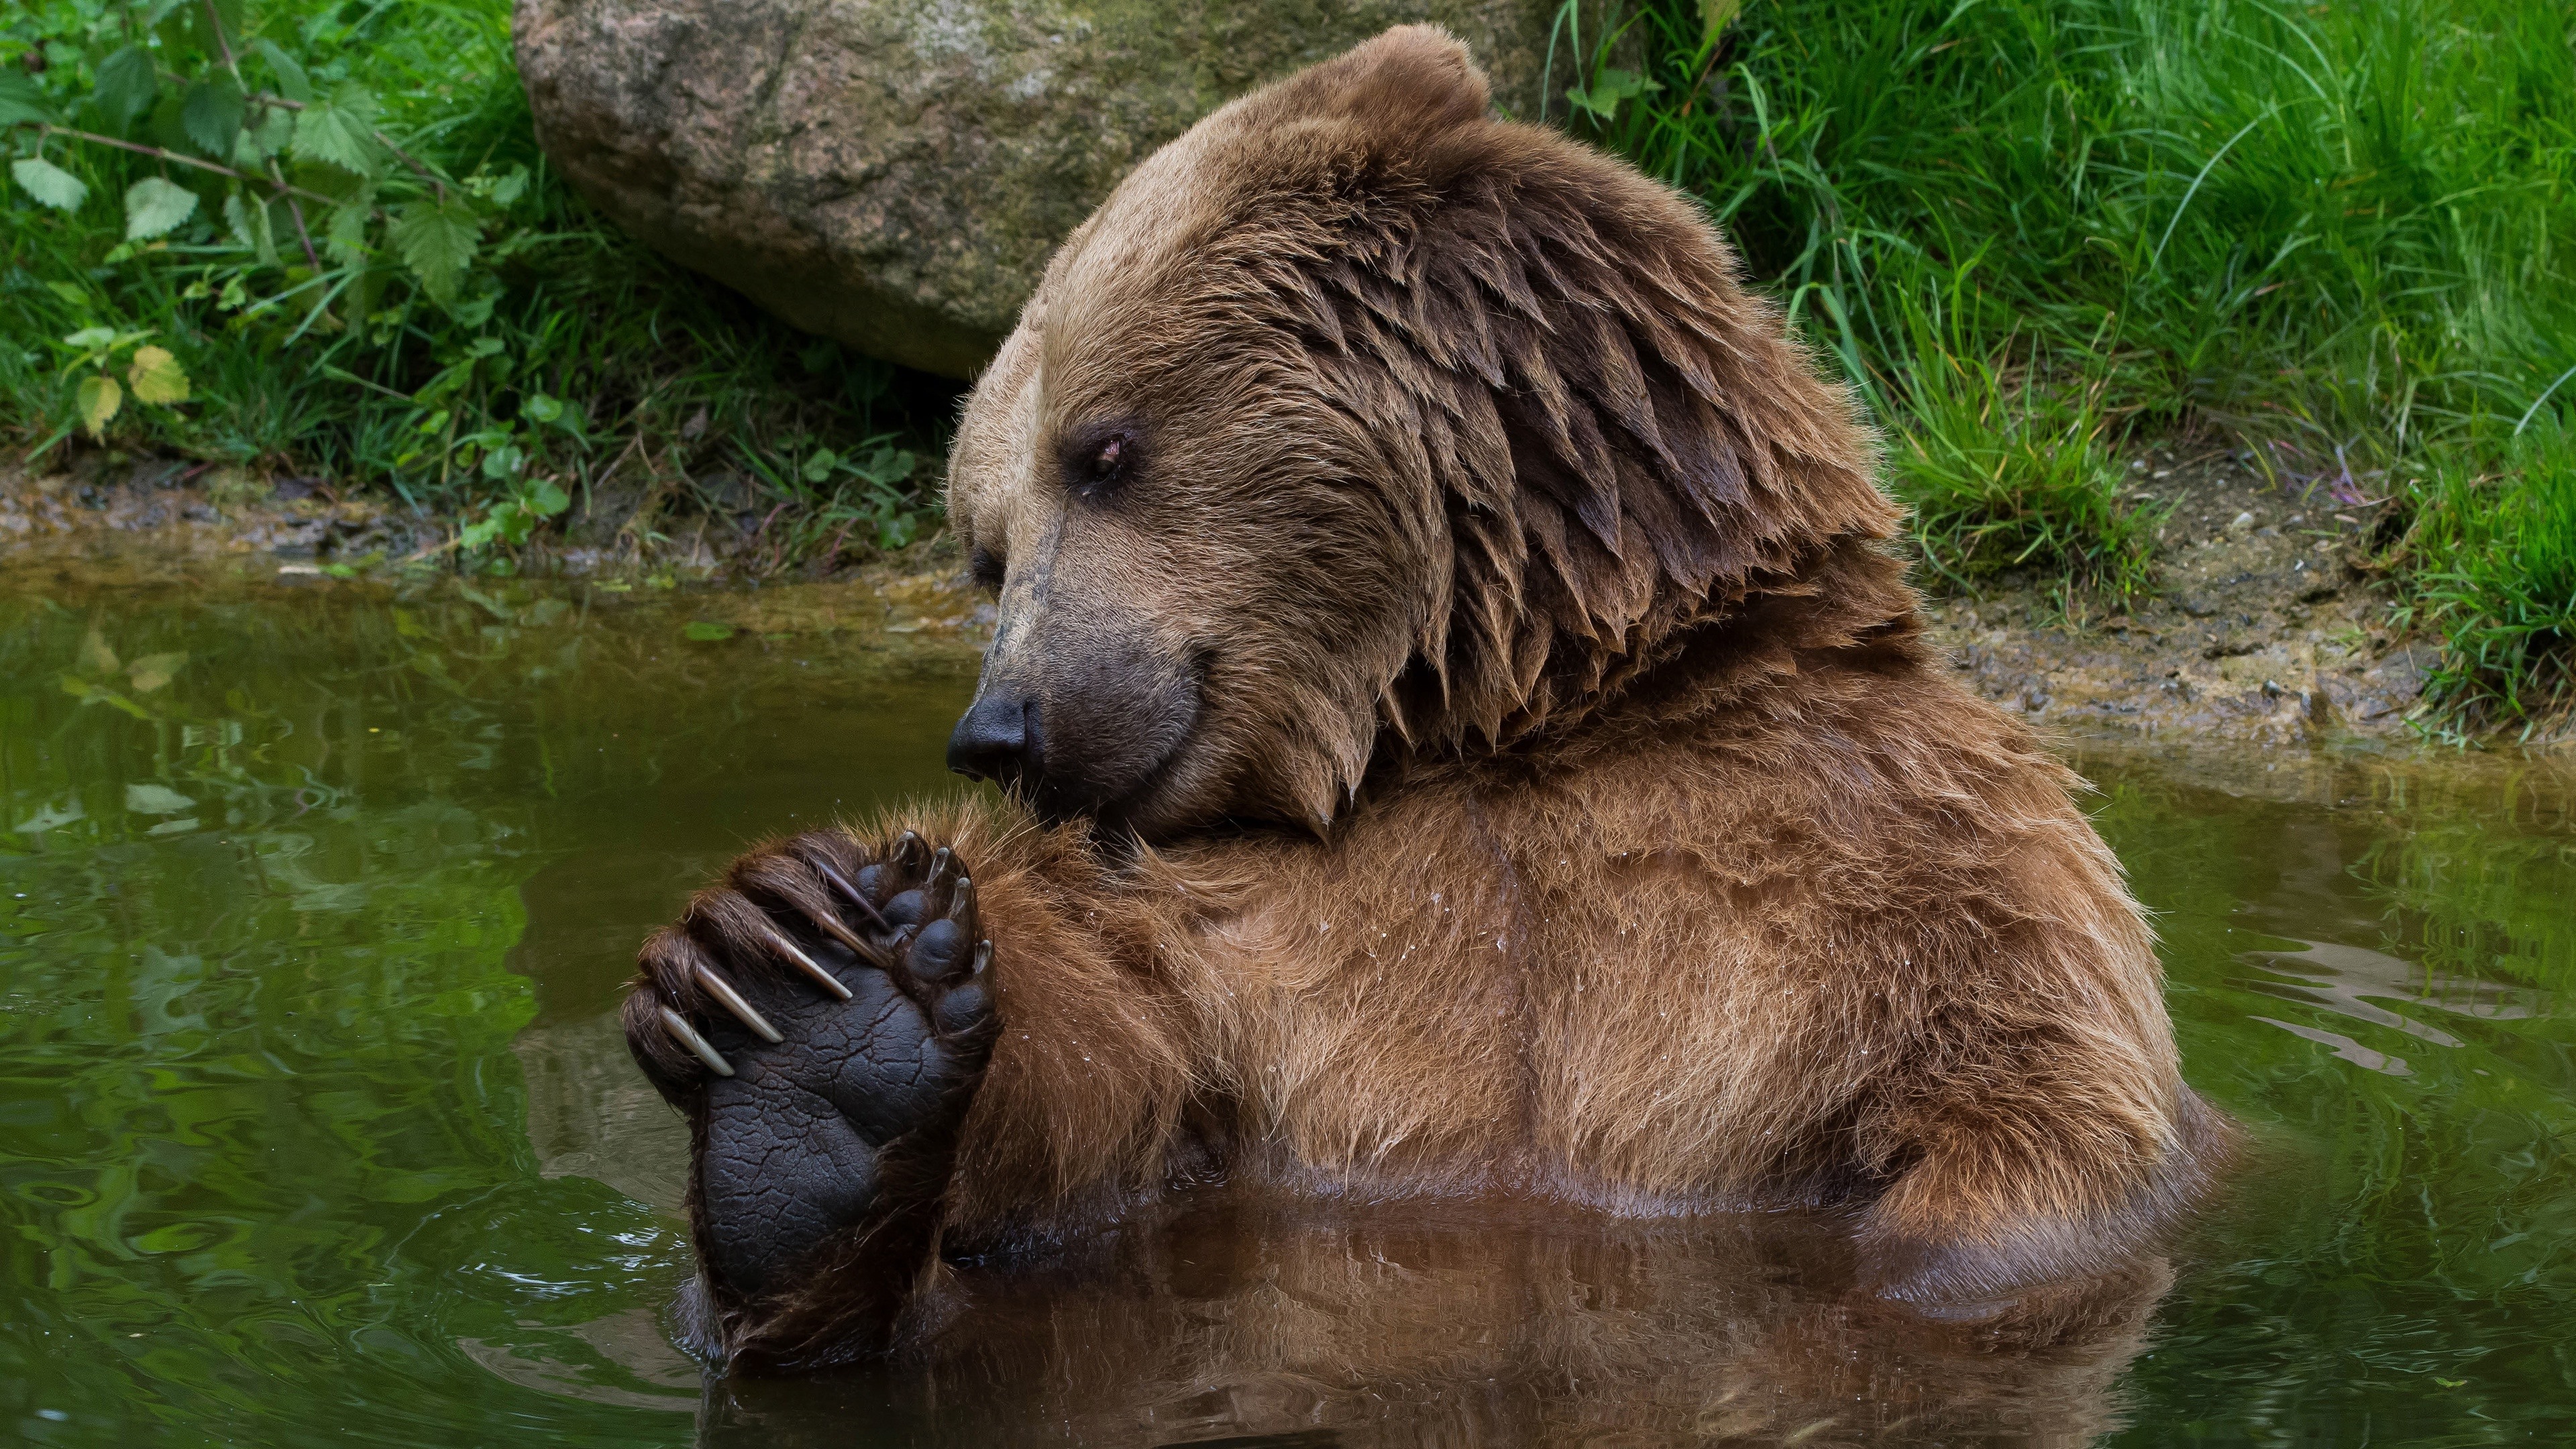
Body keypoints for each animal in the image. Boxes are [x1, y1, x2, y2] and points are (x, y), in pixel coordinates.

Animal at [612, 28, 2225, 1371]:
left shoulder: (1906, 872)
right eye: (985, 543)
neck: (1511, 721)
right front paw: (811, 1002)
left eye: (1105, 450)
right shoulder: (1253, 955)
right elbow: (1107, 1073)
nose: (1001, 730)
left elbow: (2021, 1129)